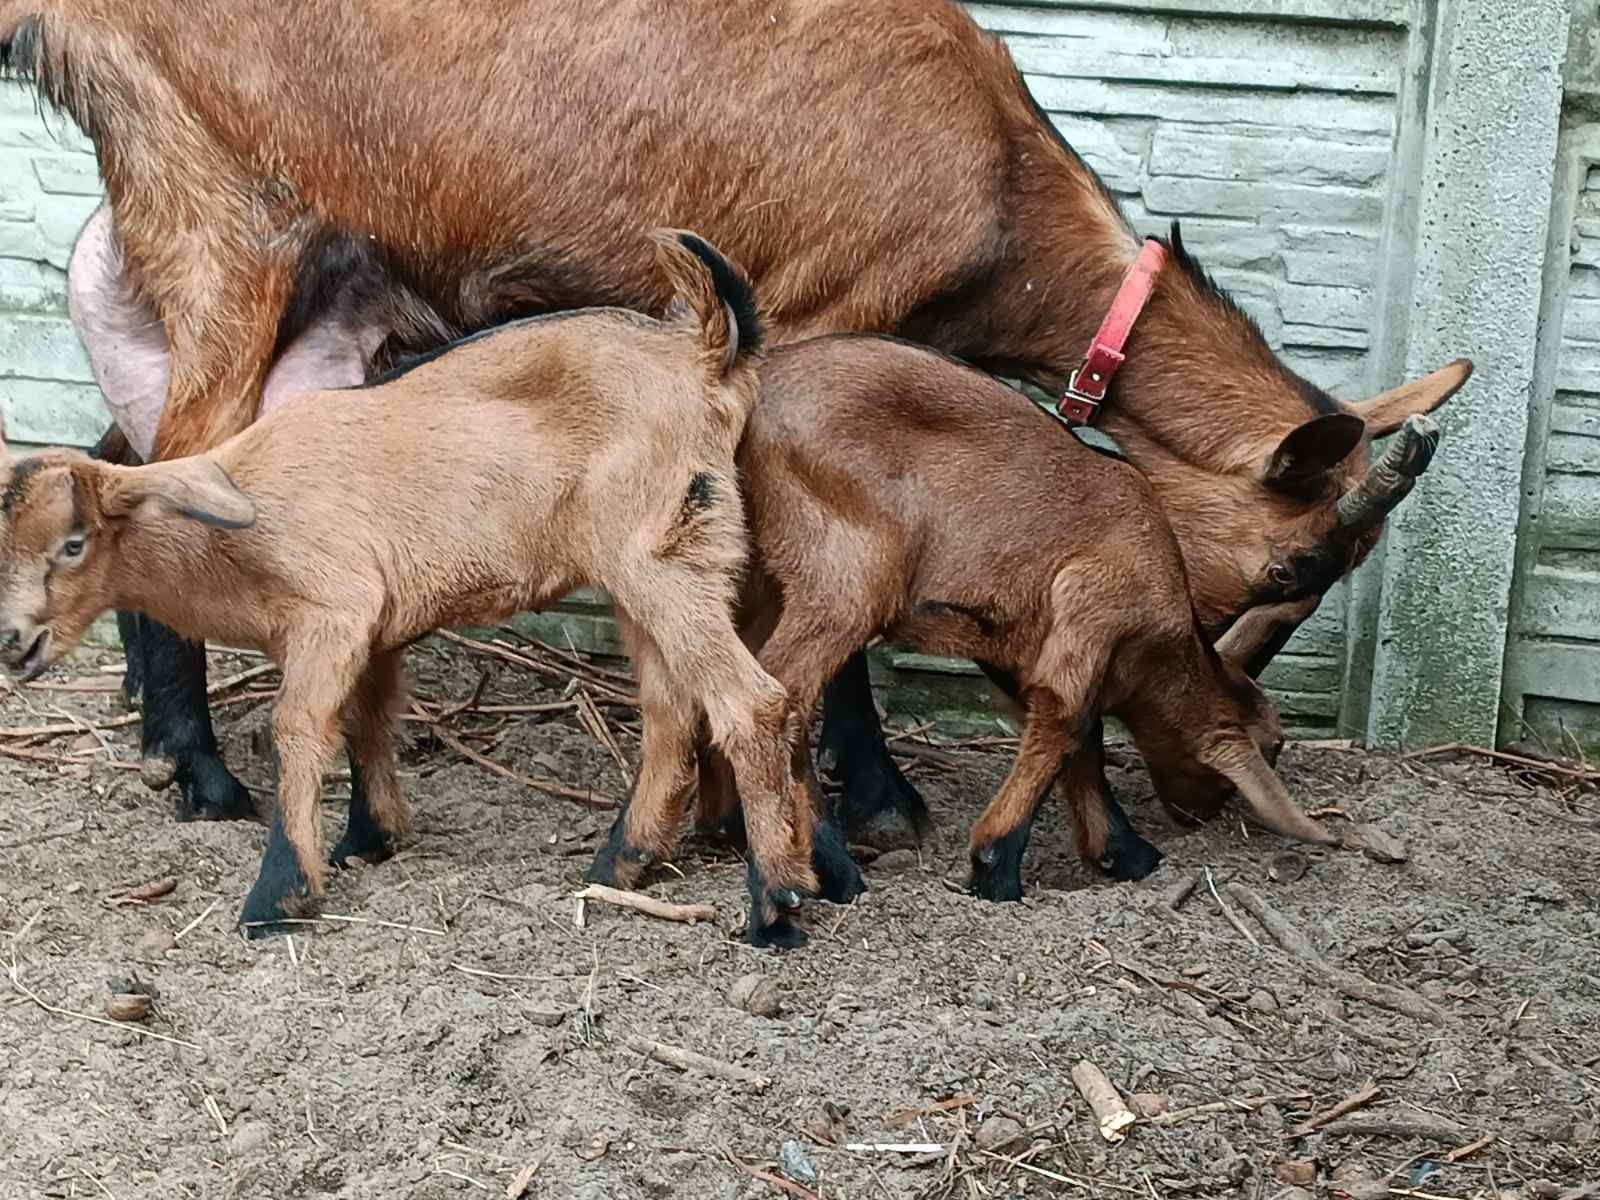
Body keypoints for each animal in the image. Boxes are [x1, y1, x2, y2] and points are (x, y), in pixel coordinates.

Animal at [0, 0, 1472, 883]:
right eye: (1294, 565)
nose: (1212, 767)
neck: (1001, 196)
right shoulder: (815, 319)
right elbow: (833, 613)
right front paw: (859, 808)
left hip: (312, 312)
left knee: (134, 452)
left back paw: (170, 739)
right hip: (227, 229)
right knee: (168, 466)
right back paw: (201, 773)